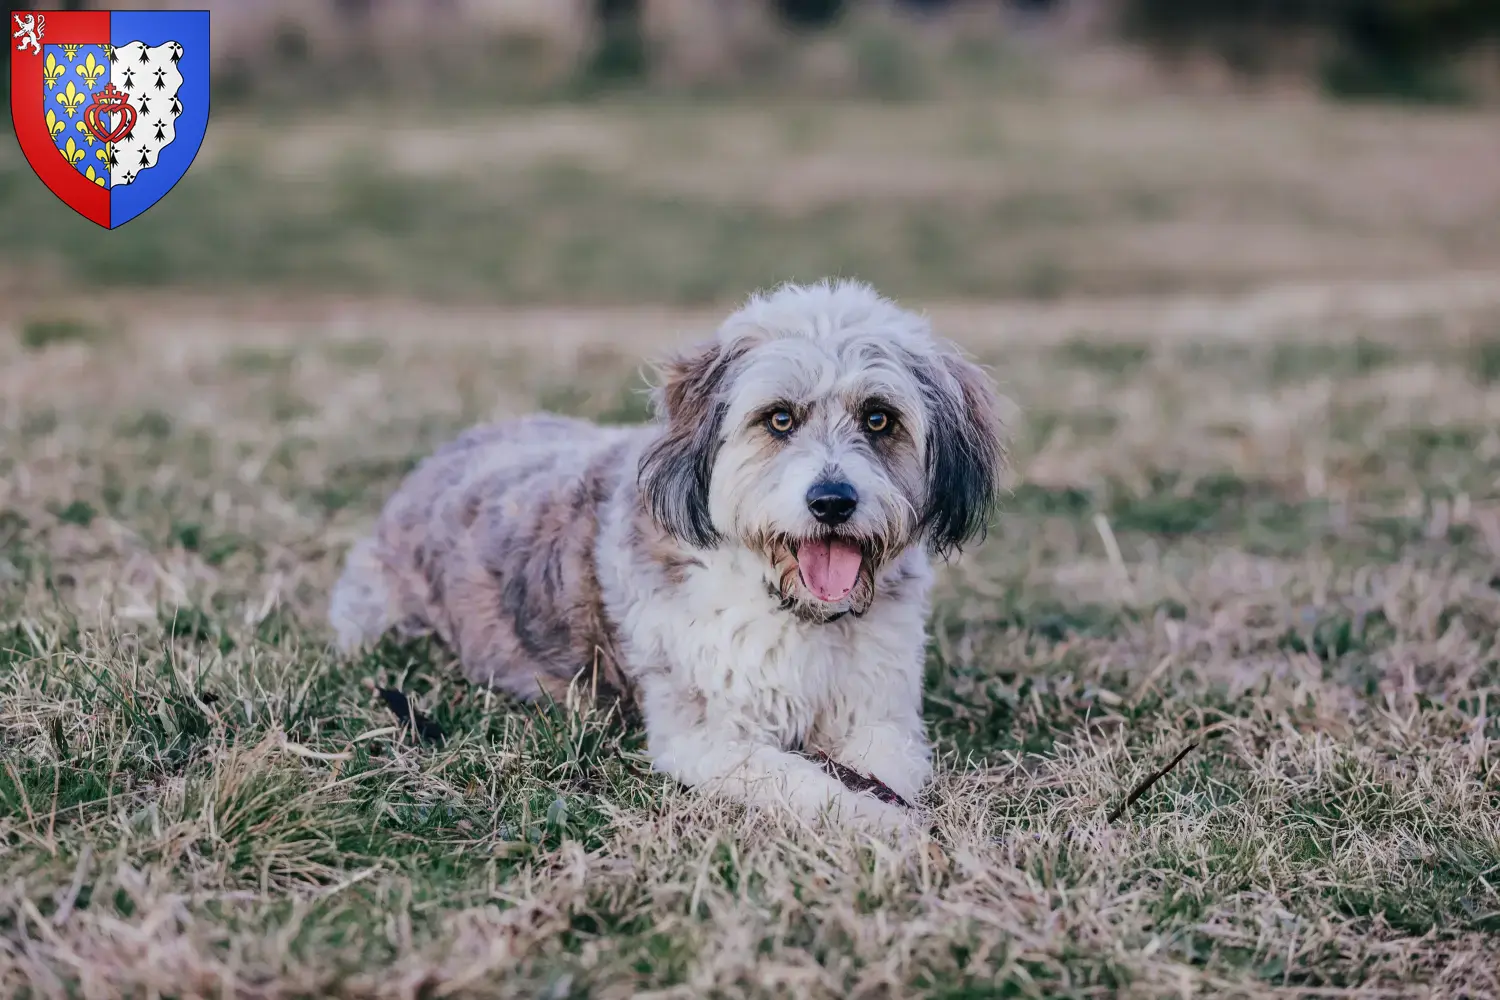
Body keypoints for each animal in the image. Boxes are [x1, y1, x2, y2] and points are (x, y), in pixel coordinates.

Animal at [330, 277, 1008, 833]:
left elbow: (884, 769)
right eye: (779, 419)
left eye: (879, 418)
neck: (794, 611)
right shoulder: (707, 735)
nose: (832, 501)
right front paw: (878, 821)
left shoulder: (881, 714)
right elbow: (802, 781)